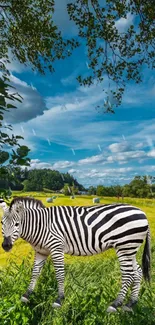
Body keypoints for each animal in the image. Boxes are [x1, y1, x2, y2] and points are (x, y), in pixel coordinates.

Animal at [0, 195, 150, 312]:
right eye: (2, 223)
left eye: (17, 224)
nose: (6, 245)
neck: (41, 225)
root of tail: (143, 213)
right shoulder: (41, 251)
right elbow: (35, 272)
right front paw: (26, 295)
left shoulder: (56, 247)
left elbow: (59, 274)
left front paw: (59, 300)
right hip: (130, 248)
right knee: (137, 272)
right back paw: (130, 304)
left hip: (125, 246)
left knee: (128, 274)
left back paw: (115, 304)